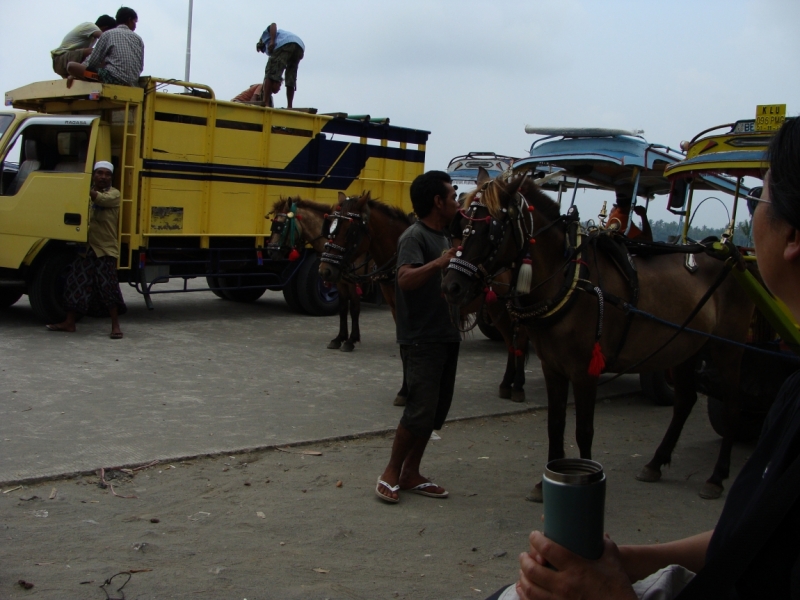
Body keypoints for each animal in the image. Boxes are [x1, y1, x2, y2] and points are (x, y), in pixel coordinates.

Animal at [268, 198, 368, 352]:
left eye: (281, 226)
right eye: (273, 225)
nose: (271, 252)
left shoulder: (353, 282)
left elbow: (354, 309)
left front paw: (351, 340)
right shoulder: (340, 282)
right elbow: (343, 308)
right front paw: (339, 338)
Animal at [316, 190, 536, 404]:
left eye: (350, 231)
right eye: (331, 227)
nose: (325, 270)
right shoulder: (398, 310)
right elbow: (405, 351)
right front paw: (405, 391)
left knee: (519, 339)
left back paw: (517, 385)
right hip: (496, 307)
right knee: (511, 341)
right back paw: (507, 383)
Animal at [440, 171, 752, 500]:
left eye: (491, 230)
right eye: (461, 227)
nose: (451, 286)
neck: (570, 280)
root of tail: (731, 256)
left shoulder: (584, 371)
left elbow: (583, 430)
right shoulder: (553, 368)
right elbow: (555, 424)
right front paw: (544, 482)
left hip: (728, 349)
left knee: (731, 404)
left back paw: (717, 476)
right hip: (683, 347)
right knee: (685, 401)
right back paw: (656, 462)